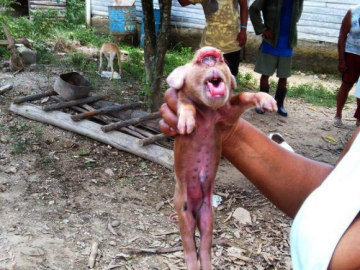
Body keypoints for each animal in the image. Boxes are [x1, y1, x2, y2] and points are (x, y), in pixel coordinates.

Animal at [167, 46, 278, 270]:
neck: (208, 112)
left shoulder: (227, 116)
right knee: (189, 246)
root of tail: (196, 209)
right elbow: (185, 104)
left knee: (204, 247)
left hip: (209, 216)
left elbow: (243, 96)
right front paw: (186, 126)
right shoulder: (183, 101)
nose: (210, 52)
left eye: (222, 62)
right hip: (182, 212)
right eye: (195, 60)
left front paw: (271, 104)